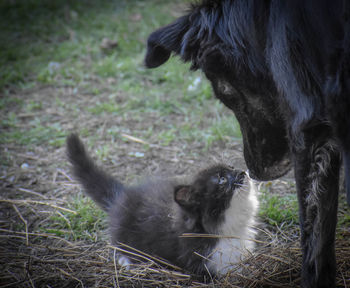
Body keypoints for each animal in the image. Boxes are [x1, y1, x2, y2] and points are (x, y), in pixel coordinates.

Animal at [66, 135, 258, 276]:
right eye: (221, 180)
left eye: (231, 167)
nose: (242, 172)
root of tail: (122, 194)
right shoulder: (207, 263)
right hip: (124, 231)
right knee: (117, 244)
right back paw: (126, 260)